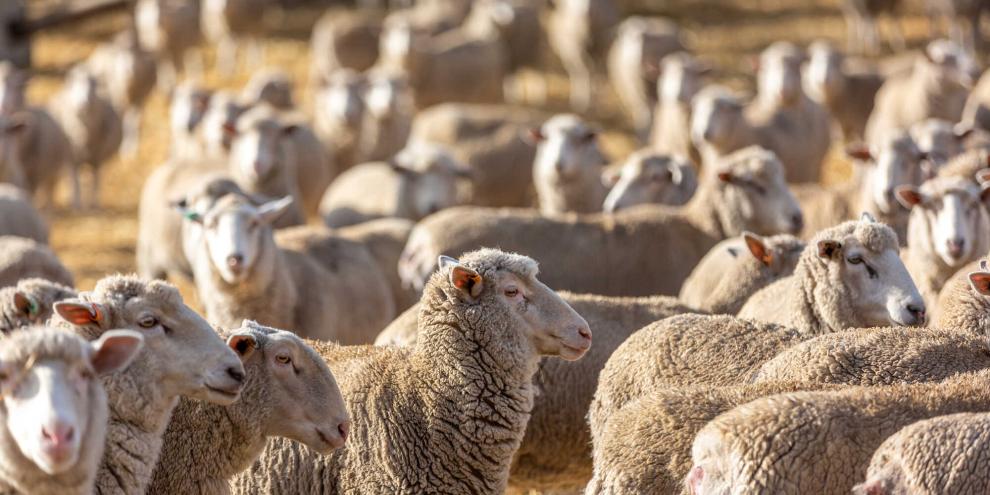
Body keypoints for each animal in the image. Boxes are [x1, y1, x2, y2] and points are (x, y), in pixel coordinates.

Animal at [51, 67, 123, 209]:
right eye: (75, 85)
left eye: (93, 85)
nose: (83, 103)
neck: (85, 136)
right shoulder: (72, 158)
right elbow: (76, 183)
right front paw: (77, 204)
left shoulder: (98, 159)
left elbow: (96, 181)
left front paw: (95, 205)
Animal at [85, 30, 157, 159]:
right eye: (122, 57)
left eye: (136, 55)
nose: (129, 72)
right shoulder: (118, 99)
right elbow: (123, 120)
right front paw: (124, 147)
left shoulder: (141, 98)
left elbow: (134, 120)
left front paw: (132, 146)